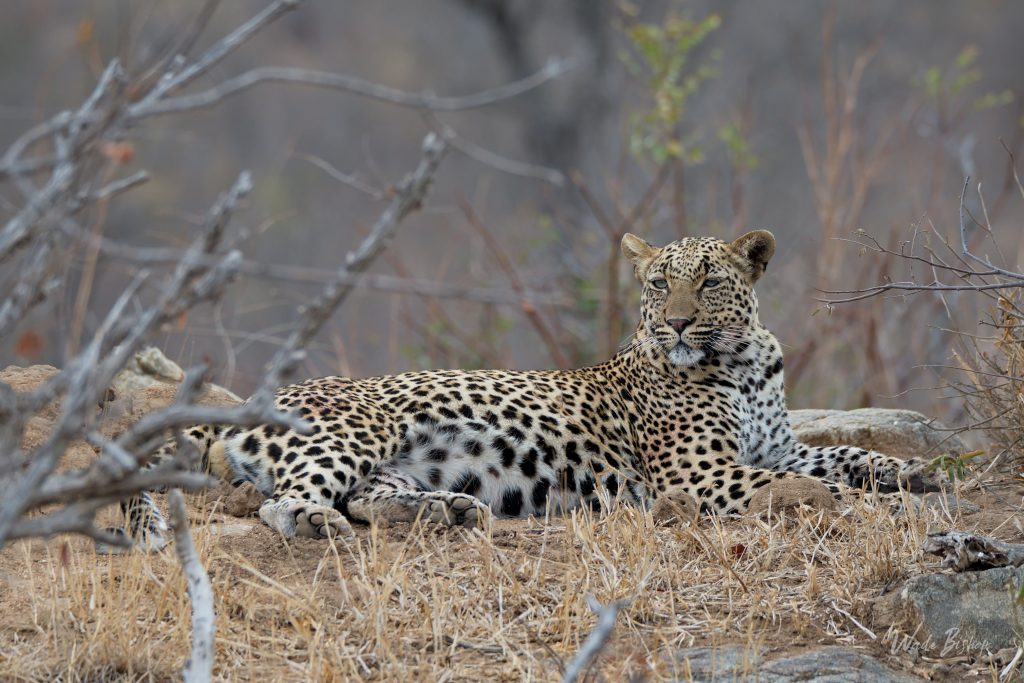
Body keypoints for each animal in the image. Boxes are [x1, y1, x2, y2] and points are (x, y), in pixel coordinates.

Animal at [122, 230, 942, 546]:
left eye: (709, 282)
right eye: (657, 284)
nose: (678, 323)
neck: (740, 359)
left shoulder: (780, 445)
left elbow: (841, 454)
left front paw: (916, 473)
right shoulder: (699, 472)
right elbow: (802, 485)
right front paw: (871, 503)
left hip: (392, 461)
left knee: (370, 495)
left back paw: (445, 511)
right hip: (357, 430)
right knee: (286, 502)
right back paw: (326, 522)